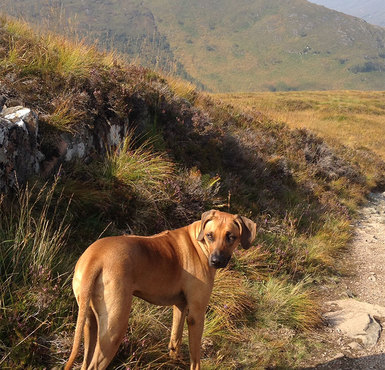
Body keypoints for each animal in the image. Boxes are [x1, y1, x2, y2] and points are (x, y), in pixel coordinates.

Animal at [64, 211, 255, 370]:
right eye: (210, 235)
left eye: (231, 237)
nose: (216, 261)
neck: (199, 244)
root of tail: (95, 257)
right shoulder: (196, 315)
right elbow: (195, 357)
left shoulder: (180, 305)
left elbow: (175, 338)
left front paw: (174, 361)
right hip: (115, 326)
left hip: (90, 321)